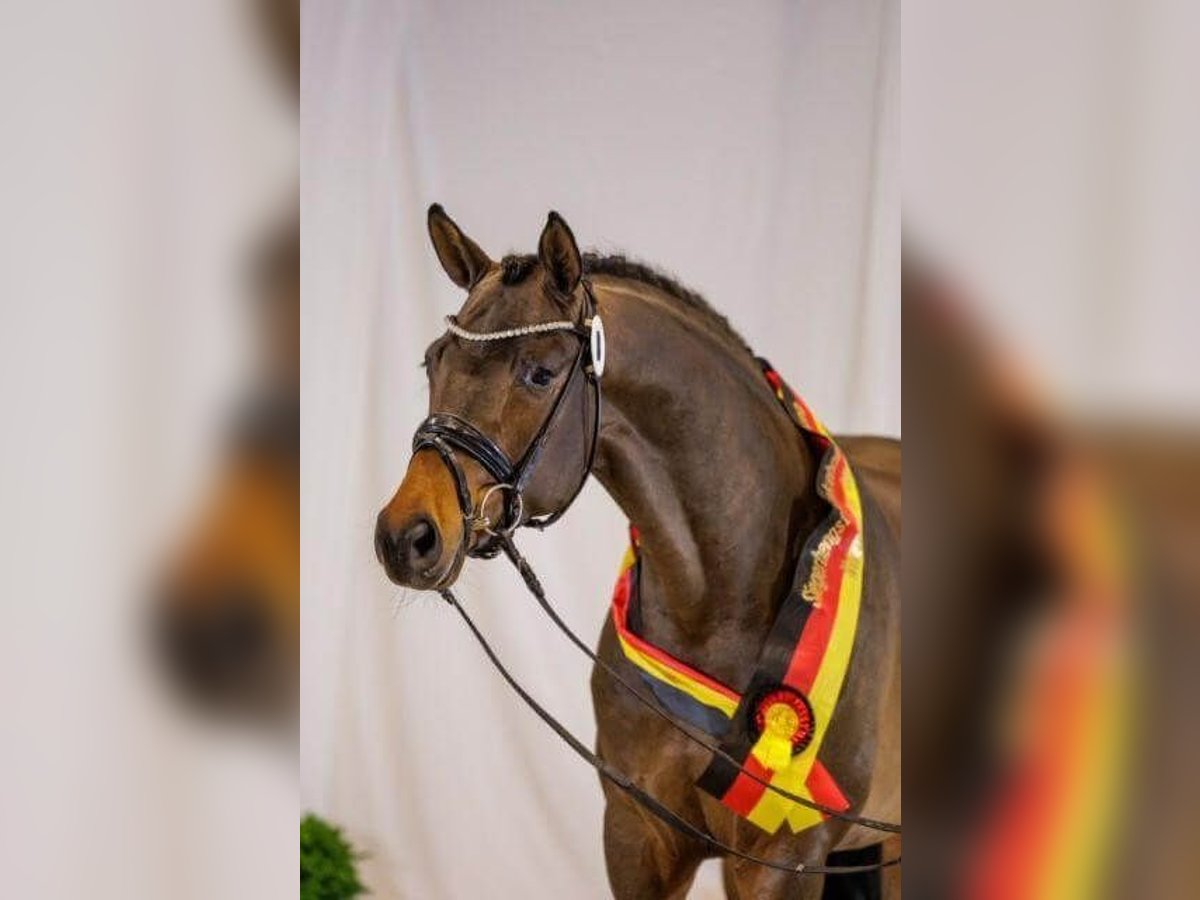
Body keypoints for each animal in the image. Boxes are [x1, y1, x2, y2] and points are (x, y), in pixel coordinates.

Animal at [376, 207, 902, 897]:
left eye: (539, 373)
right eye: (432, 362)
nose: (405, 537)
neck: (721, 602)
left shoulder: (785, 857)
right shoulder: (637, 834)